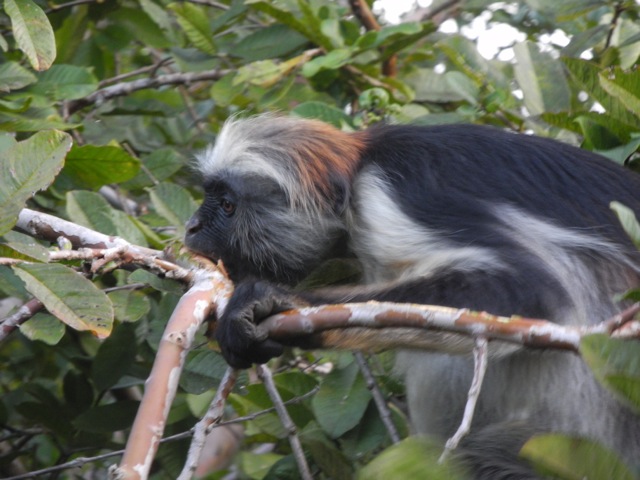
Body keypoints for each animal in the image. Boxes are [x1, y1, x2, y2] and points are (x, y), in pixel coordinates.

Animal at [185, 114, 640, 478]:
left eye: (227, 206)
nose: (191, 227)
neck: (361, 167)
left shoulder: (393, 197)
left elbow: (532, 288)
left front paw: (278, 303)